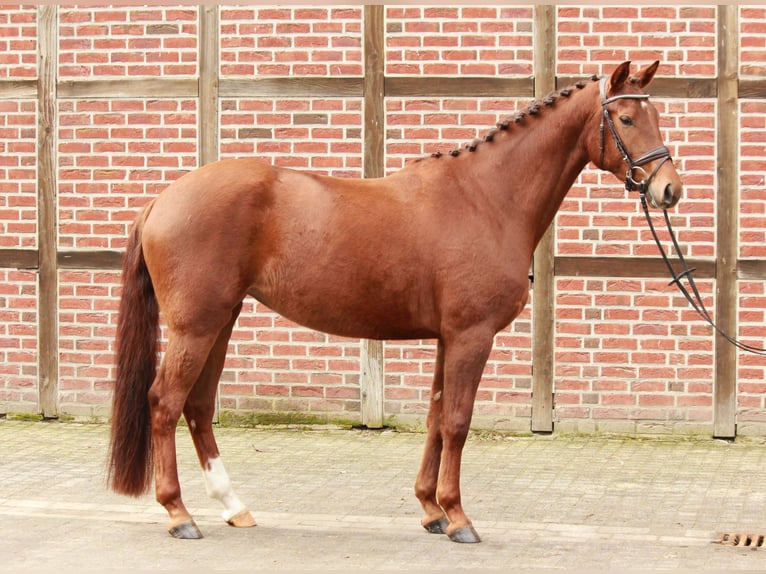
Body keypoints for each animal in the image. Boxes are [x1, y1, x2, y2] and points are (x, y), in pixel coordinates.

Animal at [107, 61, 682, 543]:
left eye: (656, 115)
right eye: (626, 118)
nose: (669, 190)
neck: (487, 198)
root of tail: (163, 198)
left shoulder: (449, 338)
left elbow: (435, 417)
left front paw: (431, 510)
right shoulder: (471, 336)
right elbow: (457, 421)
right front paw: (459, 518)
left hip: (220, 321)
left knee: (198, 407)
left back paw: (233, 506)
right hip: (196, 326)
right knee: (165, 402)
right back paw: (179, 514)